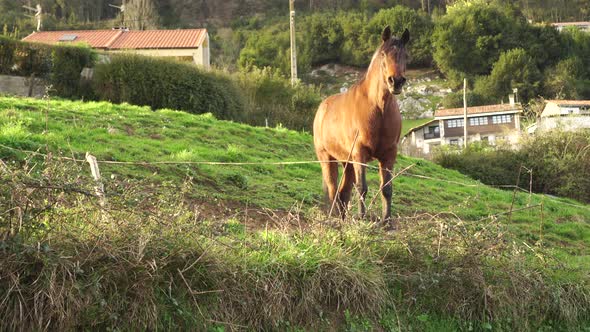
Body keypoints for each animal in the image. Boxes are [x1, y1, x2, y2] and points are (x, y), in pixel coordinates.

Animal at [314, 27, 412, 222]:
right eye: (383, 54)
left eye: (405, 55)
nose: (396, 81)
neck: (377, 108)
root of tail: (322, 107)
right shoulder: (360, 154)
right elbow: (362, 187)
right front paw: (362, 218)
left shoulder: (389, 154)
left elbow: (386, 189)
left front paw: (387, 222)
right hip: (328, 159)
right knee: (333, 191)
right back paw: (335, 220)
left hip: (347, 162)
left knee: (343, 193)